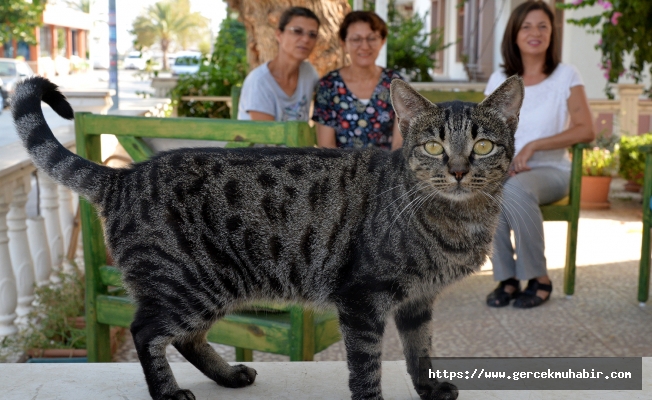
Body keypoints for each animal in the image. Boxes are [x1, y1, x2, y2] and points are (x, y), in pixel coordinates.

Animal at [12, 76, 524, 400]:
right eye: (433, 146)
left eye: (482, 145)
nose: (458, 171)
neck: (457, 217)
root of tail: (125, 177)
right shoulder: (362, 298)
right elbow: (366, 368)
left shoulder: (418, 300)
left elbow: (421, 350)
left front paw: (429, 388)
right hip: (190, 285)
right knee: (146, 332)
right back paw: (169, 393)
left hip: (208, 288)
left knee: (187, 339)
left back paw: (228, 375)